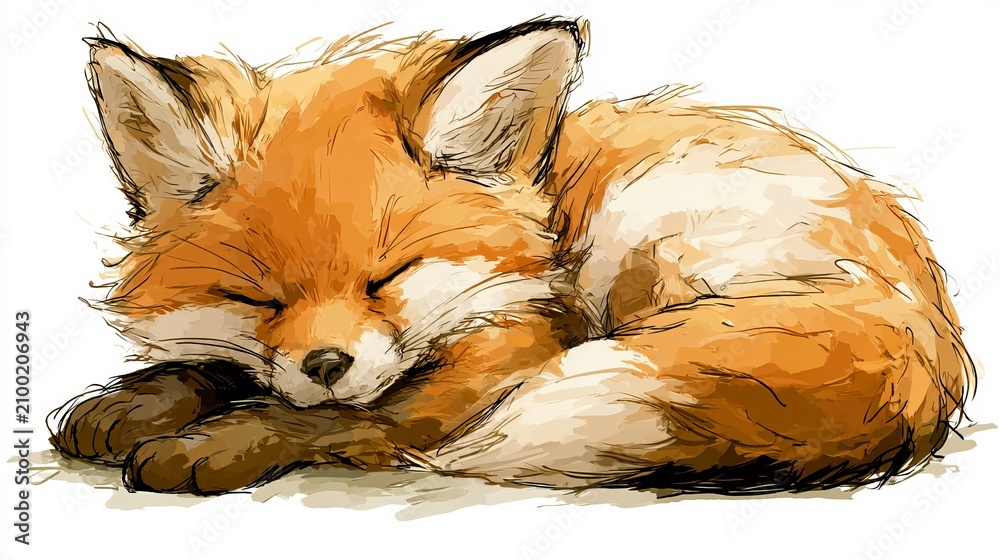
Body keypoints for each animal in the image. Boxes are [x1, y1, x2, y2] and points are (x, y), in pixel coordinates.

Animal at [49, 17, 974, 496]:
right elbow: (215, 369)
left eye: (387, 277)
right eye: (259, 298)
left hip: (650, 235)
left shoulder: (508, 357)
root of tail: (929, 330)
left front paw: (213, 443)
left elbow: (344, 420)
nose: (326, 363)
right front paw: (136, 401)